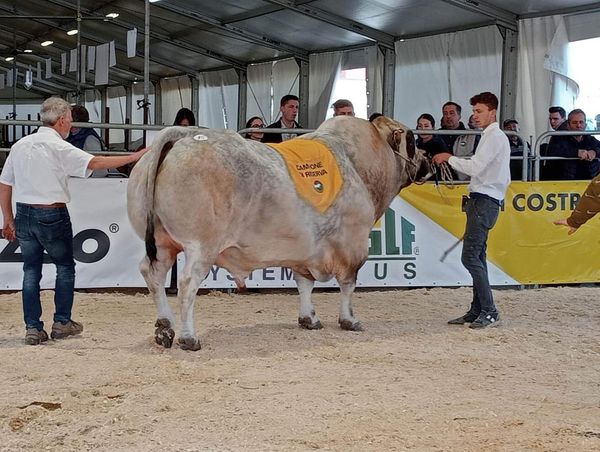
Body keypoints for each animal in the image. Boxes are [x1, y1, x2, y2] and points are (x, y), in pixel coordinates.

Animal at [126, 115, 428, 350]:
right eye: (413, 141)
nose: (427, 161)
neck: (358, 165)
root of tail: (184, 135)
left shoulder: (304, 250)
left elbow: (304, 284)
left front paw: (309, 319)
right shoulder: (352, 244)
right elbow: (347, 285)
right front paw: (350, 320)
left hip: (163, 244)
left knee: (152, 274)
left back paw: (165, 327)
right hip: (201, 245)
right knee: (188, 284)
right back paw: (189, 337)